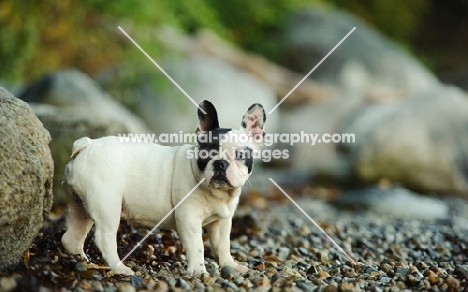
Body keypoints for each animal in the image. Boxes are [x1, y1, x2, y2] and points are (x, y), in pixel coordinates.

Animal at [60, 100, 266, 276]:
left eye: (240, 155)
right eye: (207, 153)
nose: (221, 163)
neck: (217, 194)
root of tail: (86, 145)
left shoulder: (221, 223)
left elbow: (223, 245)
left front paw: (230, 265)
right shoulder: (189, 219)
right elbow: (197, 245)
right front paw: (198, 270)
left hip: (80, 206)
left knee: (72, 235)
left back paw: (82, 261)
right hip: (107, 204)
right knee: (104, 238)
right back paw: (119, 268)